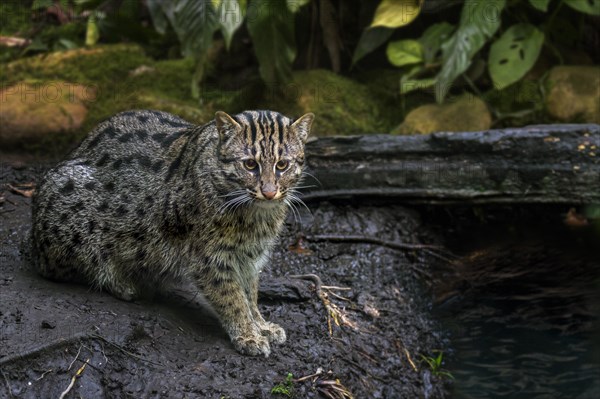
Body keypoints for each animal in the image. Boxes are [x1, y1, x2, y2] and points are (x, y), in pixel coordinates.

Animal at [29, 110, 314, 360]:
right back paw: (123, 283)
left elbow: (251, 295)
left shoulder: (250, 258)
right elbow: (232, 297)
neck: (257, 216)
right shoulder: (209, 258)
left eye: (282, 165)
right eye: (250, 164)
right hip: (71, 215)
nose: (269, 192)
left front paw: (261, 325)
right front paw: (248, 334)